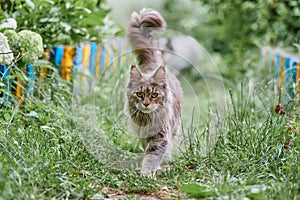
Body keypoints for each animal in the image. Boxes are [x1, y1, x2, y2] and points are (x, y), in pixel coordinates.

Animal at [125, 8, 183, 175]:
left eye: (154, 95)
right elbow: (149, 152)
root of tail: (155, 66)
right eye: (139, 94)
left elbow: (152, 156)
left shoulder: (161, 136)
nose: (145, 104)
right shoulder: (145, 135)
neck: (147, 118)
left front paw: (147, 173)